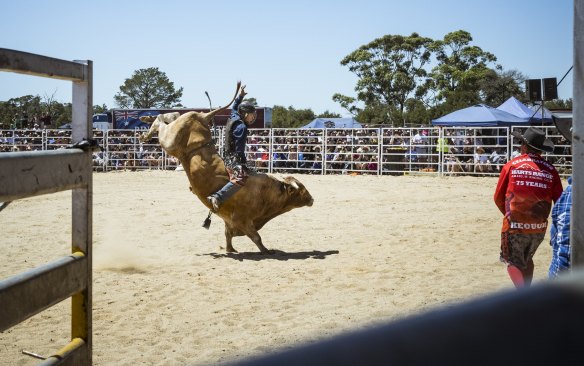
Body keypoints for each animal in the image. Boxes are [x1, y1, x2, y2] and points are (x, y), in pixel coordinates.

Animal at [139, 82, 312, 254]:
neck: (268, 192)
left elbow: (228, 234)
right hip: (170, 140)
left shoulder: (230, 221)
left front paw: (230, 249)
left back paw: (146, 123)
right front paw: (266, 251)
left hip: (175, 130)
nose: (312, 199)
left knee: (170, 115)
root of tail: (203, 116)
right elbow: (256, 237)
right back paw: (146, 130)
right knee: (161, 121)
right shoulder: (243, 220)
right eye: (302, 189)